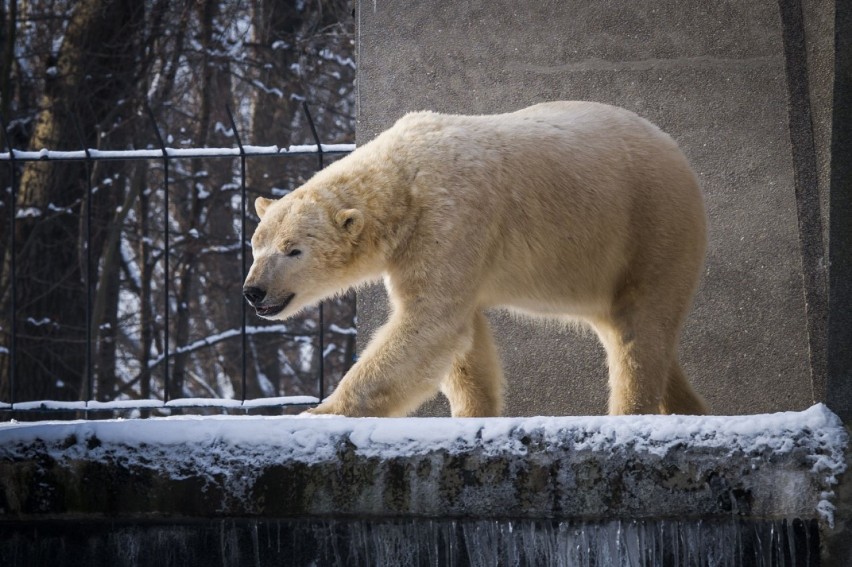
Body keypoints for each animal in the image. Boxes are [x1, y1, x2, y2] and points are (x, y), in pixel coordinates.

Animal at [245, 102, 704, 418]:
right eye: (256, 245)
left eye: (293, 250)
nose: (254, 291)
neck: (402, 177)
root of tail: (676, 151)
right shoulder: (422, 247)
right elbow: (465, 344)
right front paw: (473, 413)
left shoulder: (450, 217)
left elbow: (430, 322)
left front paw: (319, 411)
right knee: (633, 331)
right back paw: (686, 406)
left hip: (649, 226)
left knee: (639, 329)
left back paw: (631, 410)